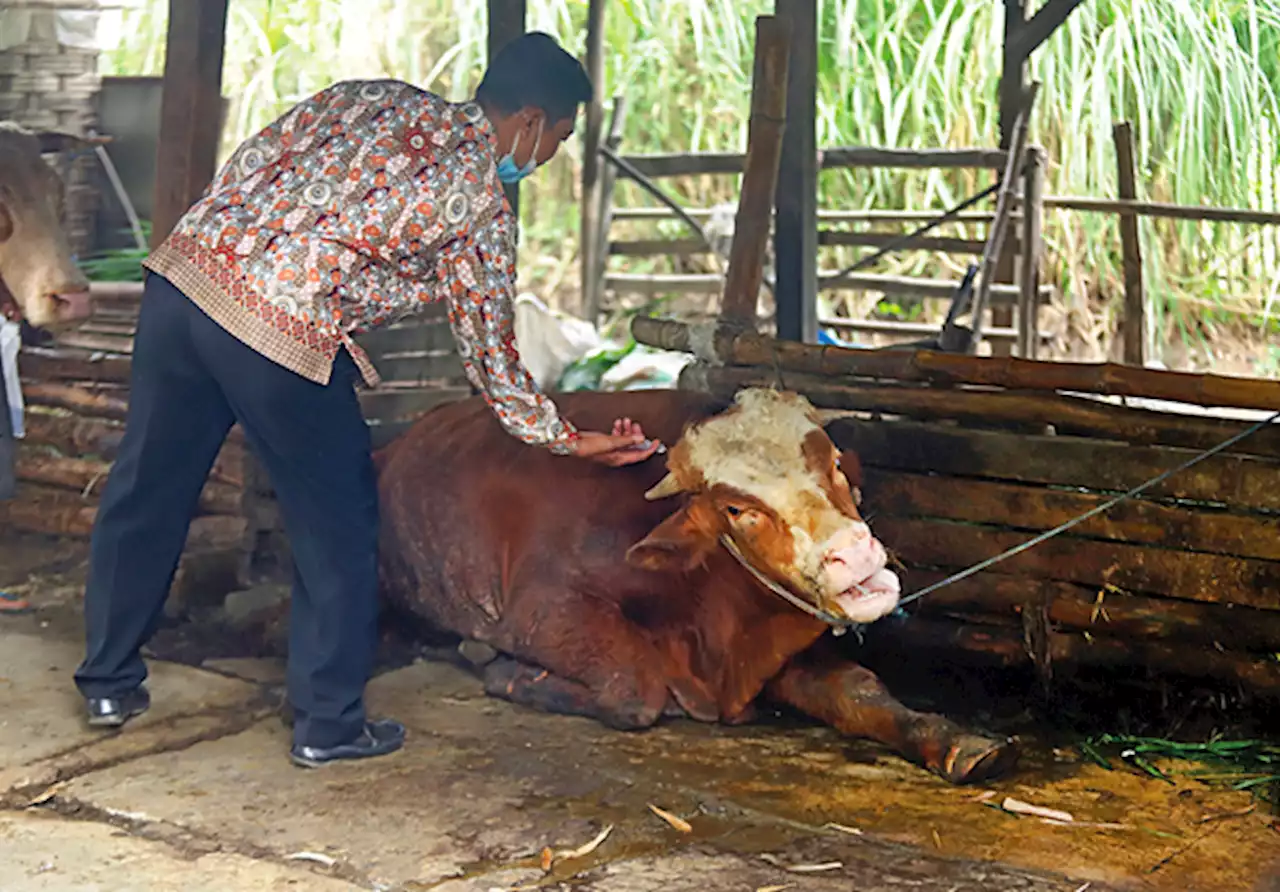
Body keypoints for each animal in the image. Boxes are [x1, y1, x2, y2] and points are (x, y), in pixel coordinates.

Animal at [373, 386, 1018, 783]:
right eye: (736, 509)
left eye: (835, 462)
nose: (853, 553)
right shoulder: (539, 608)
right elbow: (634, 688)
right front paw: (510, 673)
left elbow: (862, 691)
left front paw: (959, 742)